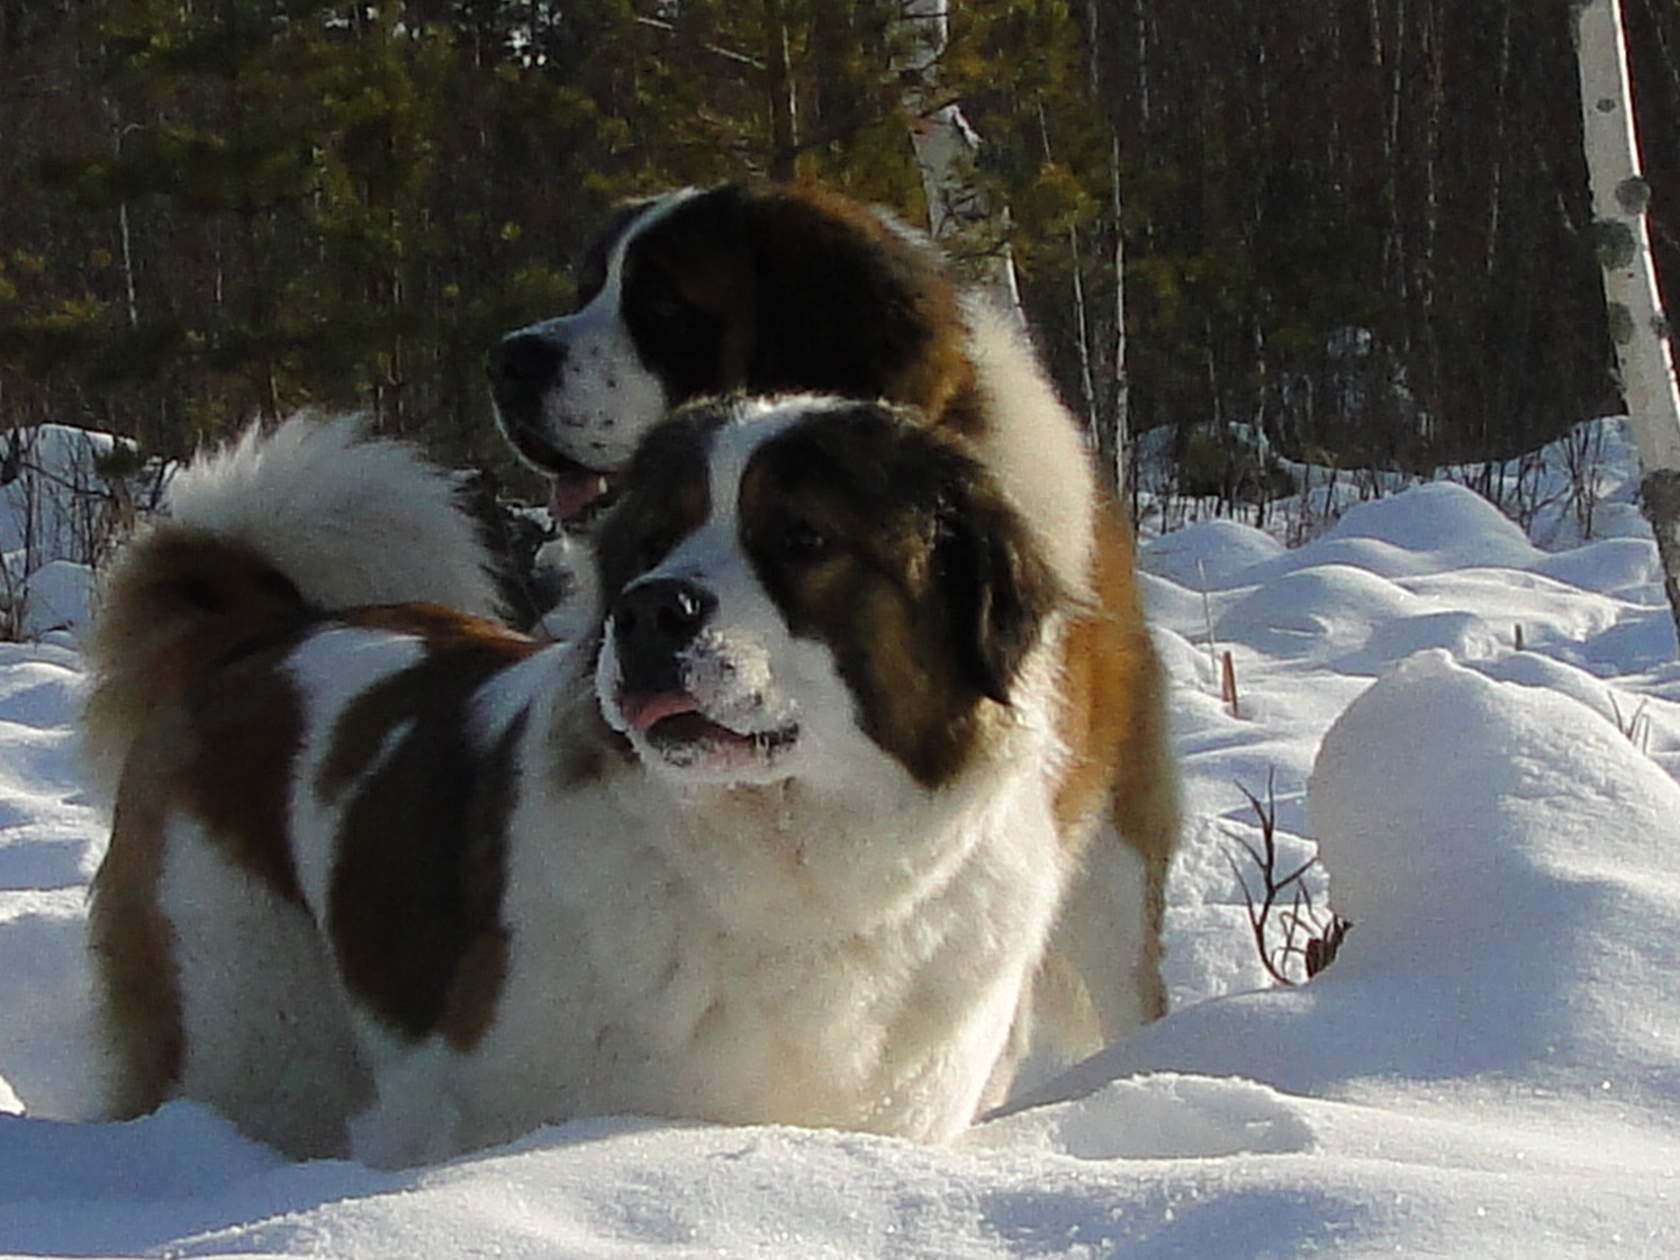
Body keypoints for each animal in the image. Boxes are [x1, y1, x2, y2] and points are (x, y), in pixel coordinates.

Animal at [81, 401, 1075, 1162]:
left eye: (802, 536)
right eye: (652, 541)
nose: (648, 610)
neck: (787, 871)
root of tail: (270, 630)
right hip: (245, 1019)